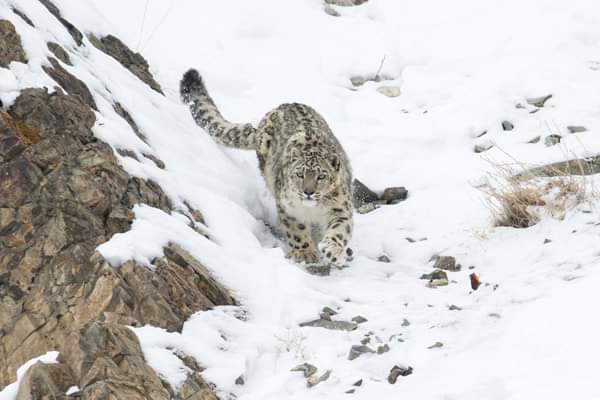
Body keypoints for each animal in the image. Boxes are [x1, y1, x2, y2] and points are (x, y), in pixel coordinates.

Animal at [180, 70, 354, 268]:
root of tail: (284, 104)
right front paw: (305, 253)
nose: (308, 192)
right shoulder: (288, 207)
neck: (312, 210)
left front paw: (333, 252)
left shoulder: (340, 208)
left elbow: (339, 231)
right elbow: (297, 230)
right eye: (300, 174)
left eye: (322, 176)